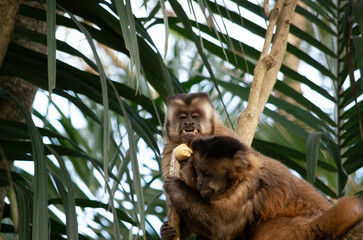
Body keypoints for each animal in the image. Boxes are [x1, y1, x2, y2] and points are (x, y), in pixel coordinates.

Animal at [165, 137, 363, 240]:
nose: (199, 183)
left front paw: (176, 187)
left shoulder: (251, 186)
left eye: (207, 174)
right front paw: (167, 232)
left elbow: (221, 227)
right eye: (199, 172)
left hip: (299, 230)